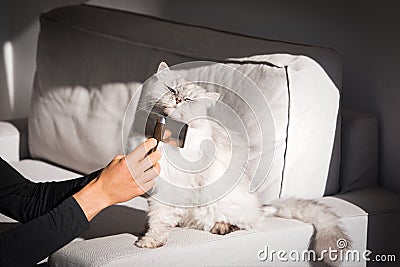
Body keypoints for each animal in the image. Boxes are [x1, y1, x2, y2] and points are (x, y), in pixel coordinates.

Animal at [128, 61, 350, 266]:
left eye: (189, 100)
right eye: (172, 90)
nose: (177, 100)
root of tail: (262, 206)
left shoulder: (176, 187)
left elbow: (161, 218)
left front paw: (150, 241)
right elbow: (156, 215)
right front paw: (148, 233)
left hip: (220, 206)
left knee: (248, 222)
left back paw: (222, 226)